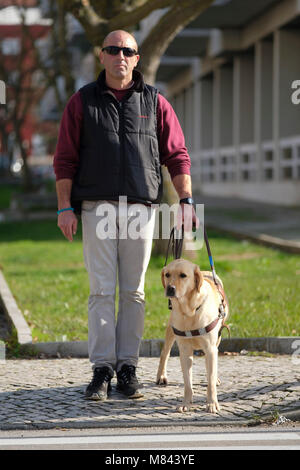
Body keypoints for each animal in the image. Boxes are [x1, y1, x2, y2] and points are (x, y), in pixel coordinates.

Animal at [156, 258, 229, 414]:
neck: (189, 311)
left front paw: (212, 403)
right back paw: (161, 376)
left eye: (183, 275)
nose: (170, 288)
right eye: (167, 274)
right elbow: (187, 382)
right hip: (170, 330)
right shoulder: (184, 351)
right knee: (165, 352)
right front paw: (186, 403)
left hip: (217, 338)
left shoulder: (210, 348)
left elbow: (210, 380)